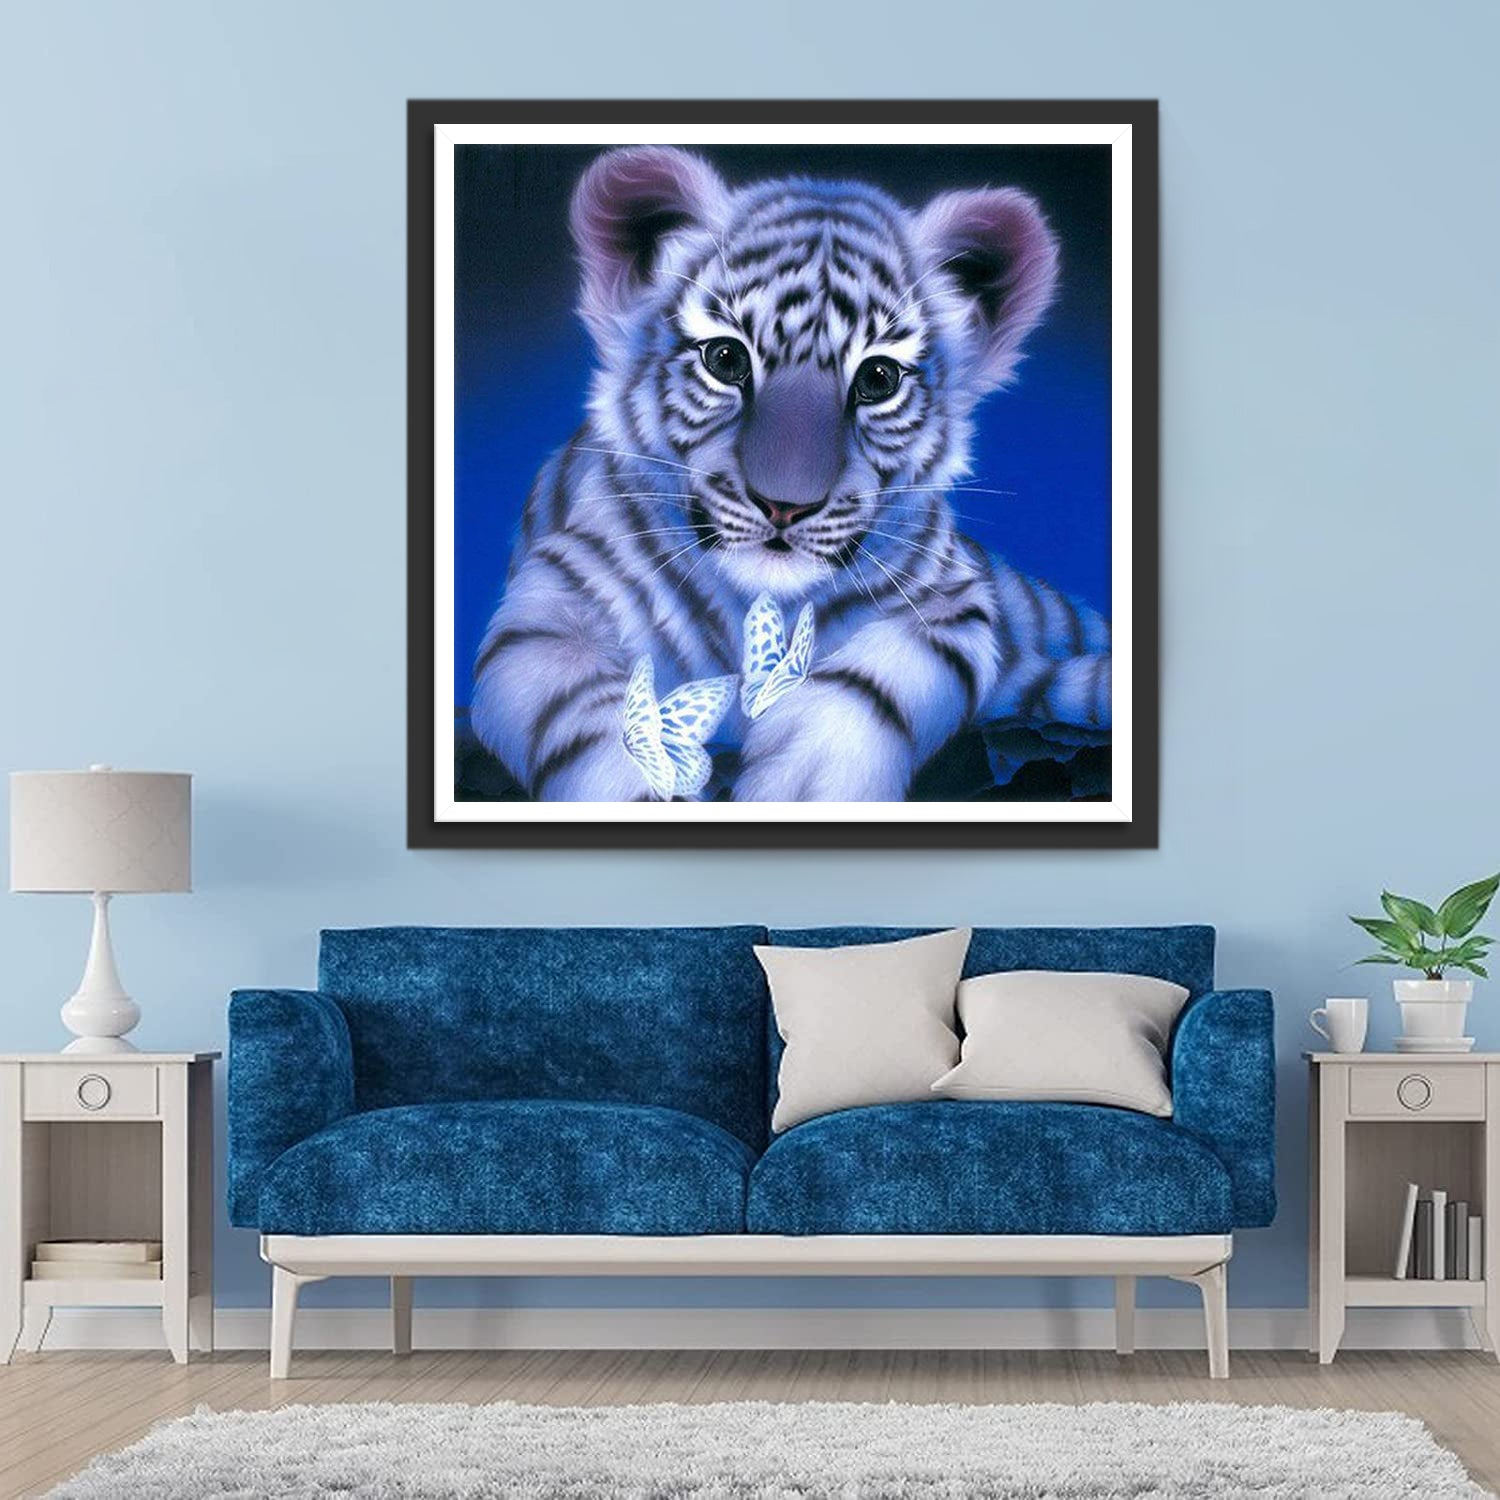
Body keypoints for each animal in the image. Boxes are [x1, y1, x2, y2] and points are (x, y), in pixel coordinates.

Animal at [469, 145, 1111, 802]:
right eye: (726, 359)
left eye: (878, 378)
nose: (785, 506)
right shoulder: (549, 608)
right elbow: (600, 720)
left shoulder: (954, 600)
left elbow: (877, 681)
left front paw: (803, 783)